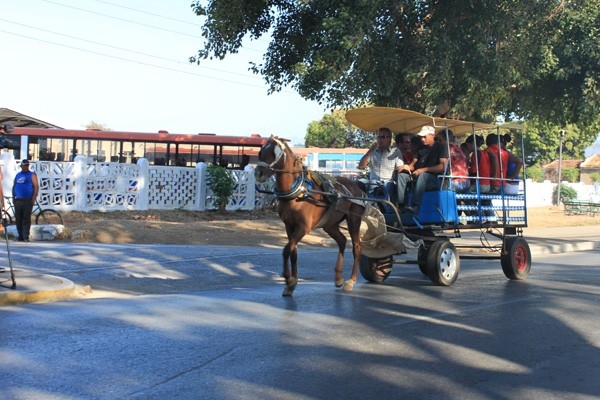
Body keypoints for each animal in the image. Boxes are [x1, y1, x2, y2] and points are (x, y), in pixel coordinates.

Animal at [254, 136, 366, 296]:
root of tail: (357, 184)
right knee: (342, 241)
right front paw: (292, 283)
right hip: (330, 224)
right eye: (261, 151)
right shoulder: (289, 225)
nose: (259, 173)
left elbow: (286, 250)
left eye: (275, 153)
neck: (298, 191)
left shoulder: (304, 227)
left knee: (357, 246)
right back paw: (338, 277)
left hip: (354, 219)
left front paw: (288, 278)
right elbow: (293, 252)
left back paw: (351, 280)